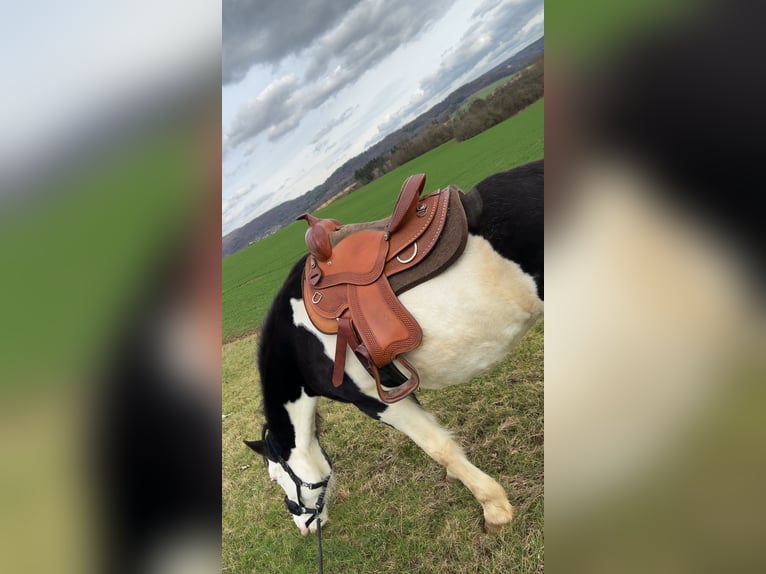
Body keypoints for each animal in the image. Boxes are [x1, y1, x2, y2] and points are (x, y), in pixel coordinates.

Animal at [248, 160, 544, 536]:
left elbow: (437, 447)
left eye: (275, 478)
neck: (299, 345)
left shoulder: (376, 401)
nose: (305, 528)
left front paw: (494, 509)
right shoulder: (397, 383)